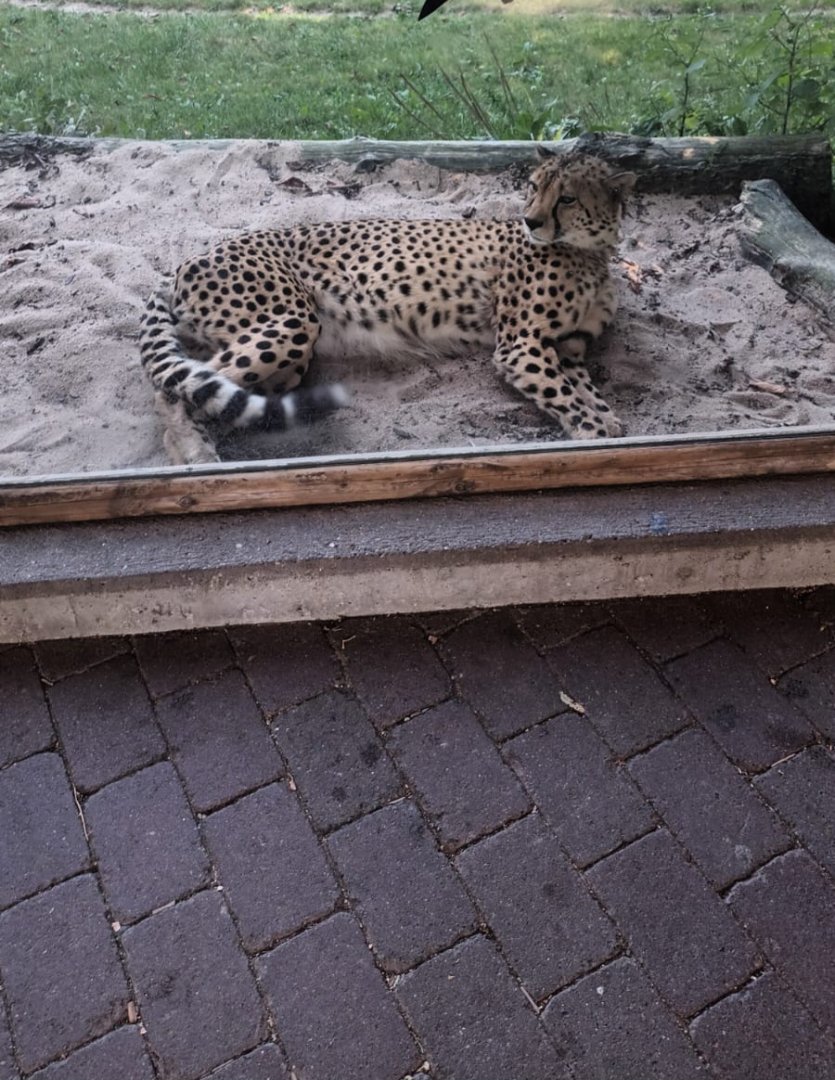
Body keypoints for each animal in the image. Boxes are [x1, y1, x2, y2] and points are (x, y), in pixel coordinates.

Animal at [139, 148, 636, 465]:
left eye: (567, 197)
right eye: (533, 186)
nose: (530, 220)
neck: (587, 253)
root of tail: (186, 262)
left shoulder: (568, 347)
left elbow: (586, 393)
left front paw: (611, 425)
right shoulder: (520, 346)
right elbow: (568, 399)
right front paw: (594, 437)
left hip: (287, 360)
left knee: (212, 388)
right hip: (293, 322)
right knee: (174, 388)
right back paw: (195, 453)